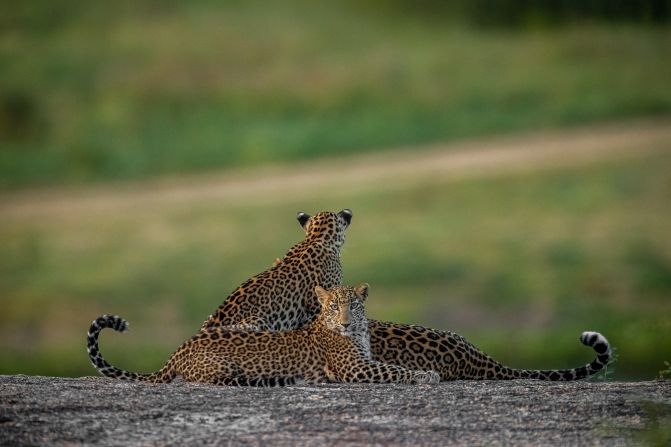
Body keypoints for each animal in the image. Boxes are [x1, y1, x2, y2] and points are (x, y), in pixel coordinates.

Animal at [89, 286, 444, 386]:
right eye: (332, 307)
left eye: (352, 307)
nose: (343, 323)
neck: (356, 334)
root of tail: (179, 349)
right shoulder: (356, 369)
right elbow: (395, 370)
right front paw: (427, 375)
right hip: (221, 366)